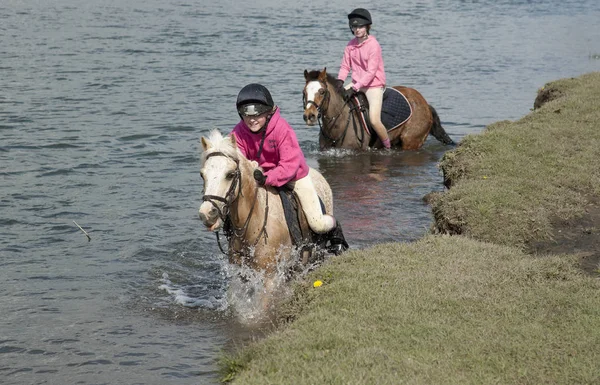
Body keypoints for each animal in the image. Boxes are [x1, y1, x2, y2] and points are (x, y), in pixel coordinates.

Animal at [199, 131, 336, 300]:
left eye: (230, 174)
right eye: (202, 175)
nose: (207, 214)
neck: (253, 223)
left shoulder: (270, 278)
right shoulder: (242, 275)